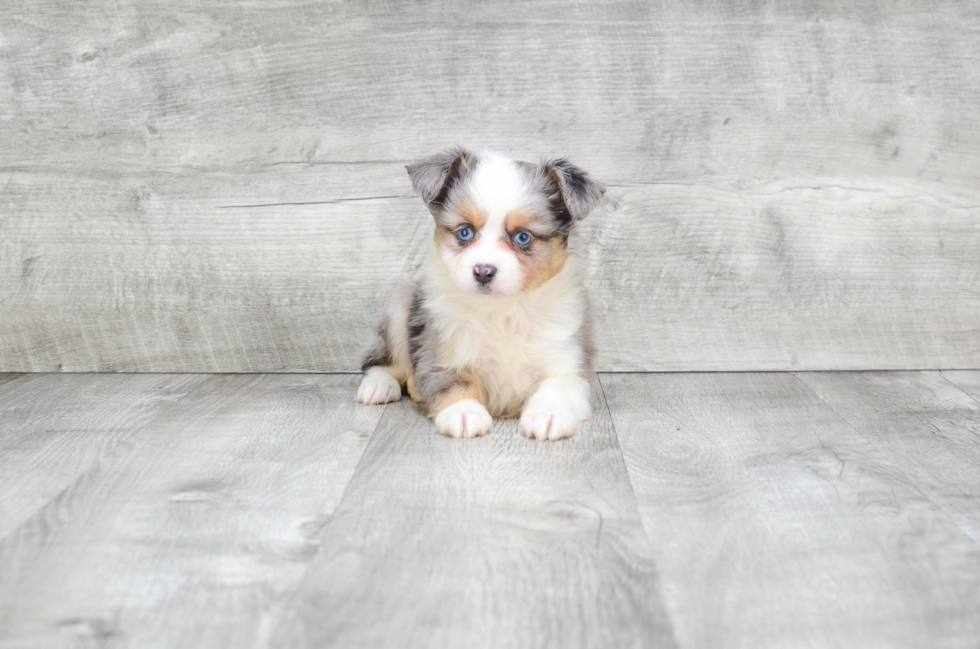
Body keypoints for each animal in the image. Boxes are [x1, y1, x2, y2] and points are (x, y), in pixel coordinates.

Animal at [356, 148, 600, 440]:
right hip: (400, 309)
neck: (502, 311)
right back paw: (379, 386)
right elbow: (456, 383)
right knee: (381, 361)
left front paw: (548, 415)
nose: (483, 271)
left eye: (522, 237)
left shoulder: (568, 361)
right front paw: (464, 412)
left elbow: (558, 388)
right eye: (465, 232)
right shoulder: (440, 353)